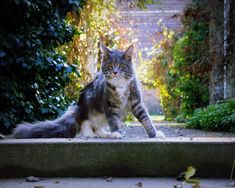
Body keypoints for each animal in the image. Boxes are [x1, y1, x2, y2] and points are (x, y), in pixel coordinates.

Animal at [12, 40, 165, 138]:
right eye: (110, 66)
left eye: (121, 66)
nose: (115, 72)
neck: (120, 86)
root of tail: (77, 106)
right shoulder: (109, 106)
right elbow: (114, 121)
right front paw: (117, 133)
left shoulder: (136, 103)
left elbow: (146, 119)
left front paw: (154, 134)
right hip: (90, 106)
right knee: (85, 122)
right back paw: (90, 135)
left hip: (100, 114)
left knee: (97, 127)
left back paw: (105, 134)